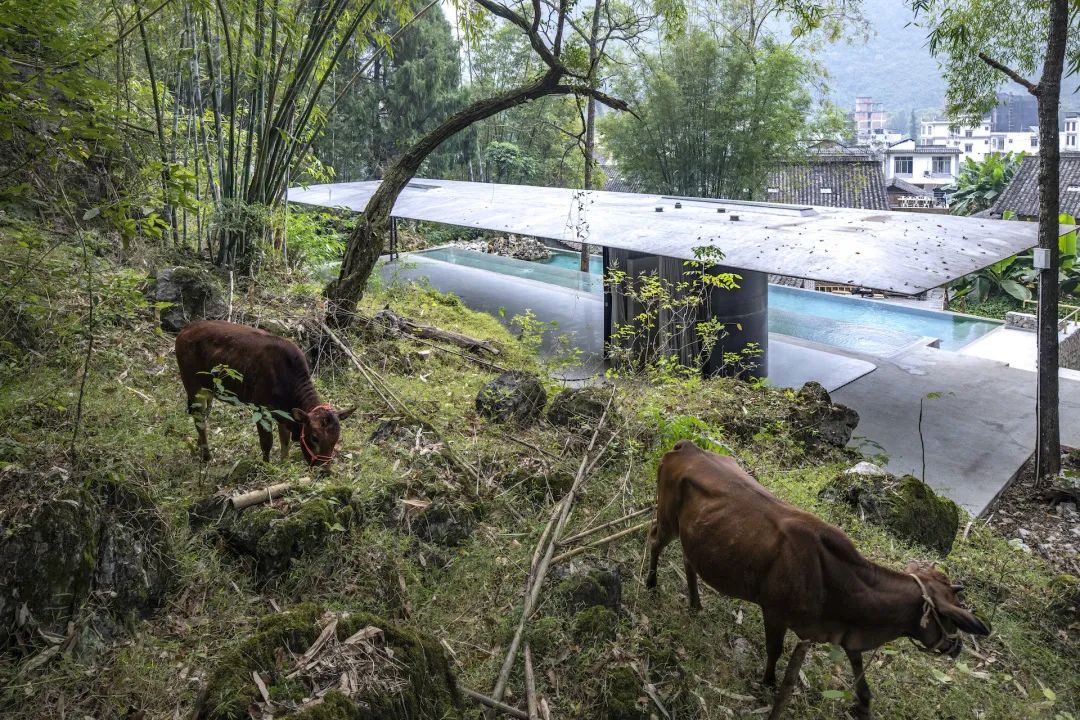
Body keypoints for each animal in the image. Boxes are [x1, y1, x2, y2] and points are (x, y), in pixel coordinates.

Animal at [173, 321, 354, 468]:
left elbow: (284, 441)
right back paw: (206, 456)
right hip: (193, 388)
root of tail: (185, 329)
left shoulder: (283, 414)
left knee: (204, 416)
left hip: (208, 391)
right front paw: (266, 466)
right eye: (314, 437)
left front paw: (284, 463)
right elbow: (267, 442)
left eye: (336, 439)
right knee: (199, 419)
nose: (325, 470)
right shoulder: (260, 409)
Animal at [643, 442, 989, 716]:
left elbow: (861, 678)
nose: (957, 647)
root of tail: (686, 446)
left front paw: (862, 706)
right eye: (951, 618)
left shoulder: (847, 635)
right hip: (667, 517)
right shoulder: (774, 611)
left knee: (688, 561)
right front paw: (768, 683)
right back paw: (650, 585)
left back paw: (695, 604)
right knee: (654, 539)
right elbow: (774, 651)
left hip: (694, 536)